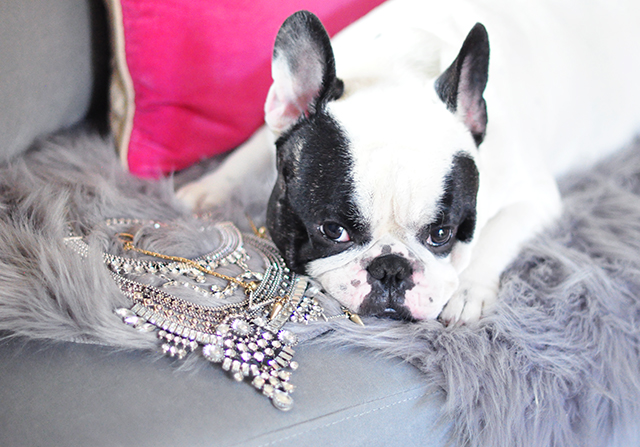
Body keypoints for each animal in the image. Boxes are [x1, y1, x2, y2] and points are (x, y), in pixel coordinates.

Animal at [178, 1, 640, 328]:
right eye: (334, 231)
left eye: (442, 235)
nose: (391, 269)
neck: (397, 72)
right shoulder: (283, 117)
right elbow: (250, 149)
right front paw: (209, 189)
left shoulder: (535, 197)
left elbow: (496, 237)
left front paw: (469, 291)